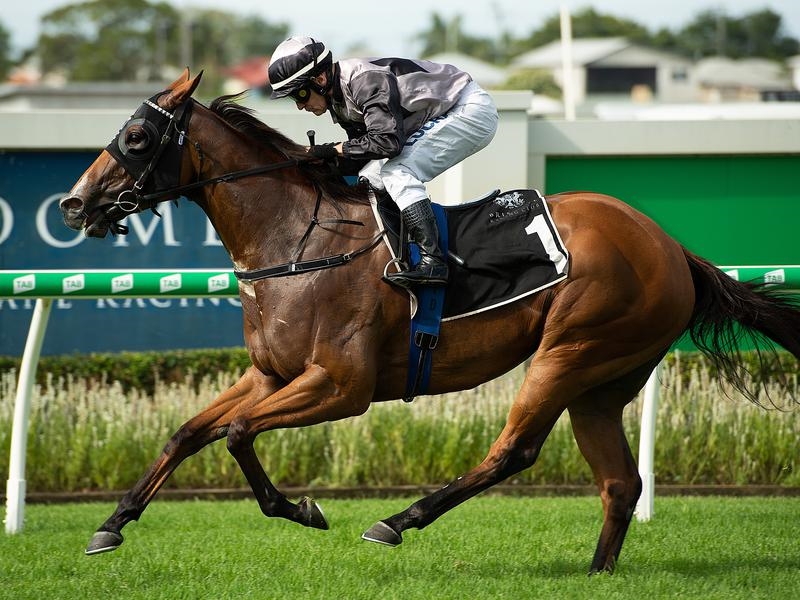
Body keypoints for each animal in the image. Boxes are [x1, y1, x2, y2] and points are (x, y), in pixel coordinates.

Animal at [59, 69, 800, 574]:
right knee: (619, 483)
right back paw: (597, 571)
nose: (73, 204)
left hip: (572, 351)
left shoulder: (341, 386)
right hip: (601, 382)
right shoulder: (270, 373)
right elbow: (188, 432)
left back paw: (398, 520)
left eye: (136, 137)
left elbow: (238, 434)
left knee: (514, 451)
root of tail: (671, 247)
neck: (296, 240)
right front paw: (113, 524)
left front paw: (303, 509)